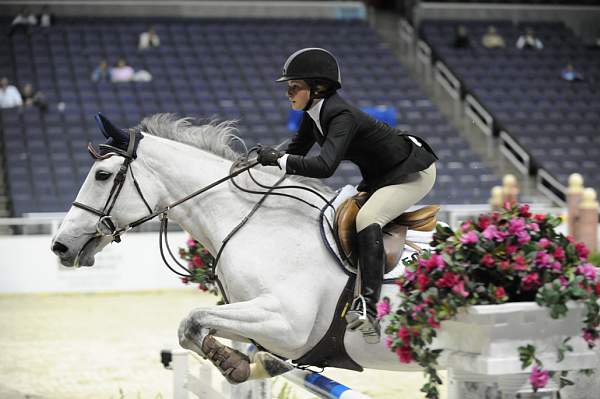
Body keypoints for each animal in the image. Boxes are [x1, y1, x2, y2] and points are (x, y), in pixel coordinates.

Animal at [52, 114, 426, 382]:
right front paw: (244, 363)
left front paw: (235, 364)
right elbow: (190, 328)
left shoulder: (287, 324)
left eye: (102, 175)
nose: (60, 246)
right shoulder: (257, 318)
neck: (257, 223)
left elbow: (193, 319)